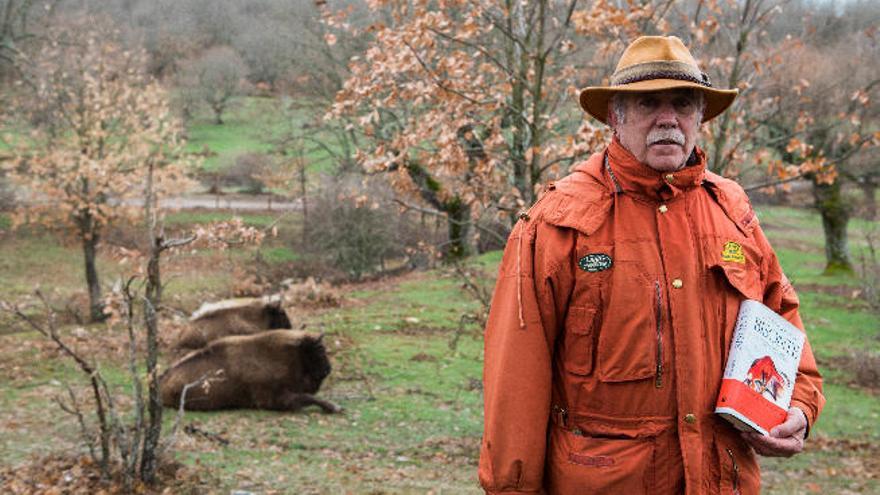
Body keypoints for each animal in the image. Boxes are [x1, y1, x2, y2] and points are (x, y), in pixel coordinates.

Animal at [158, 330, 340, 414]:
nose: (328, 369)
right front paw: (334, 407)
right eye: (319, 350)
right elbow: (307, 397)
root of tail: (161, 380)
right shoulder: (274, 399)